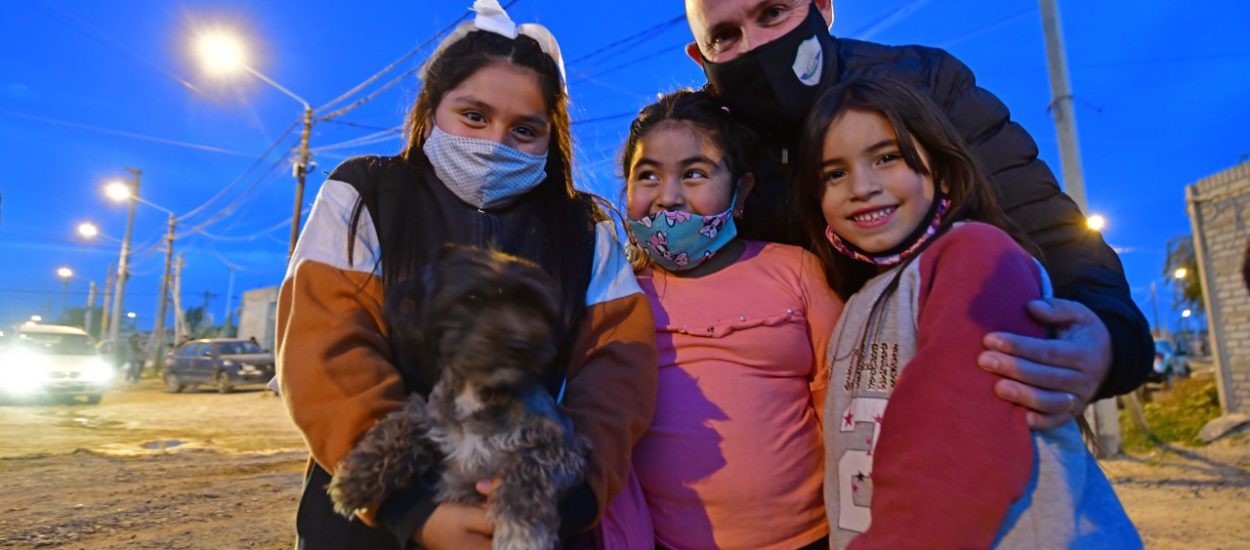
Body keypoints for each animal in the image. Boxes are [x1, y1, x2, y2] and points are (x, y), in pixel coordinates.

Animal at [327, 246, 590, 550]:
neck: (479, 392)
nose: (519, 343)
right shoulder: (431, 415)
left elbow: (529, 475)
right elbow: (403, 422)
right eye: (472, 299)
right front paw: (354, 479)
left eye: (532, 304)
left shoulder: (562, 444)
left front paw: (521, 534)